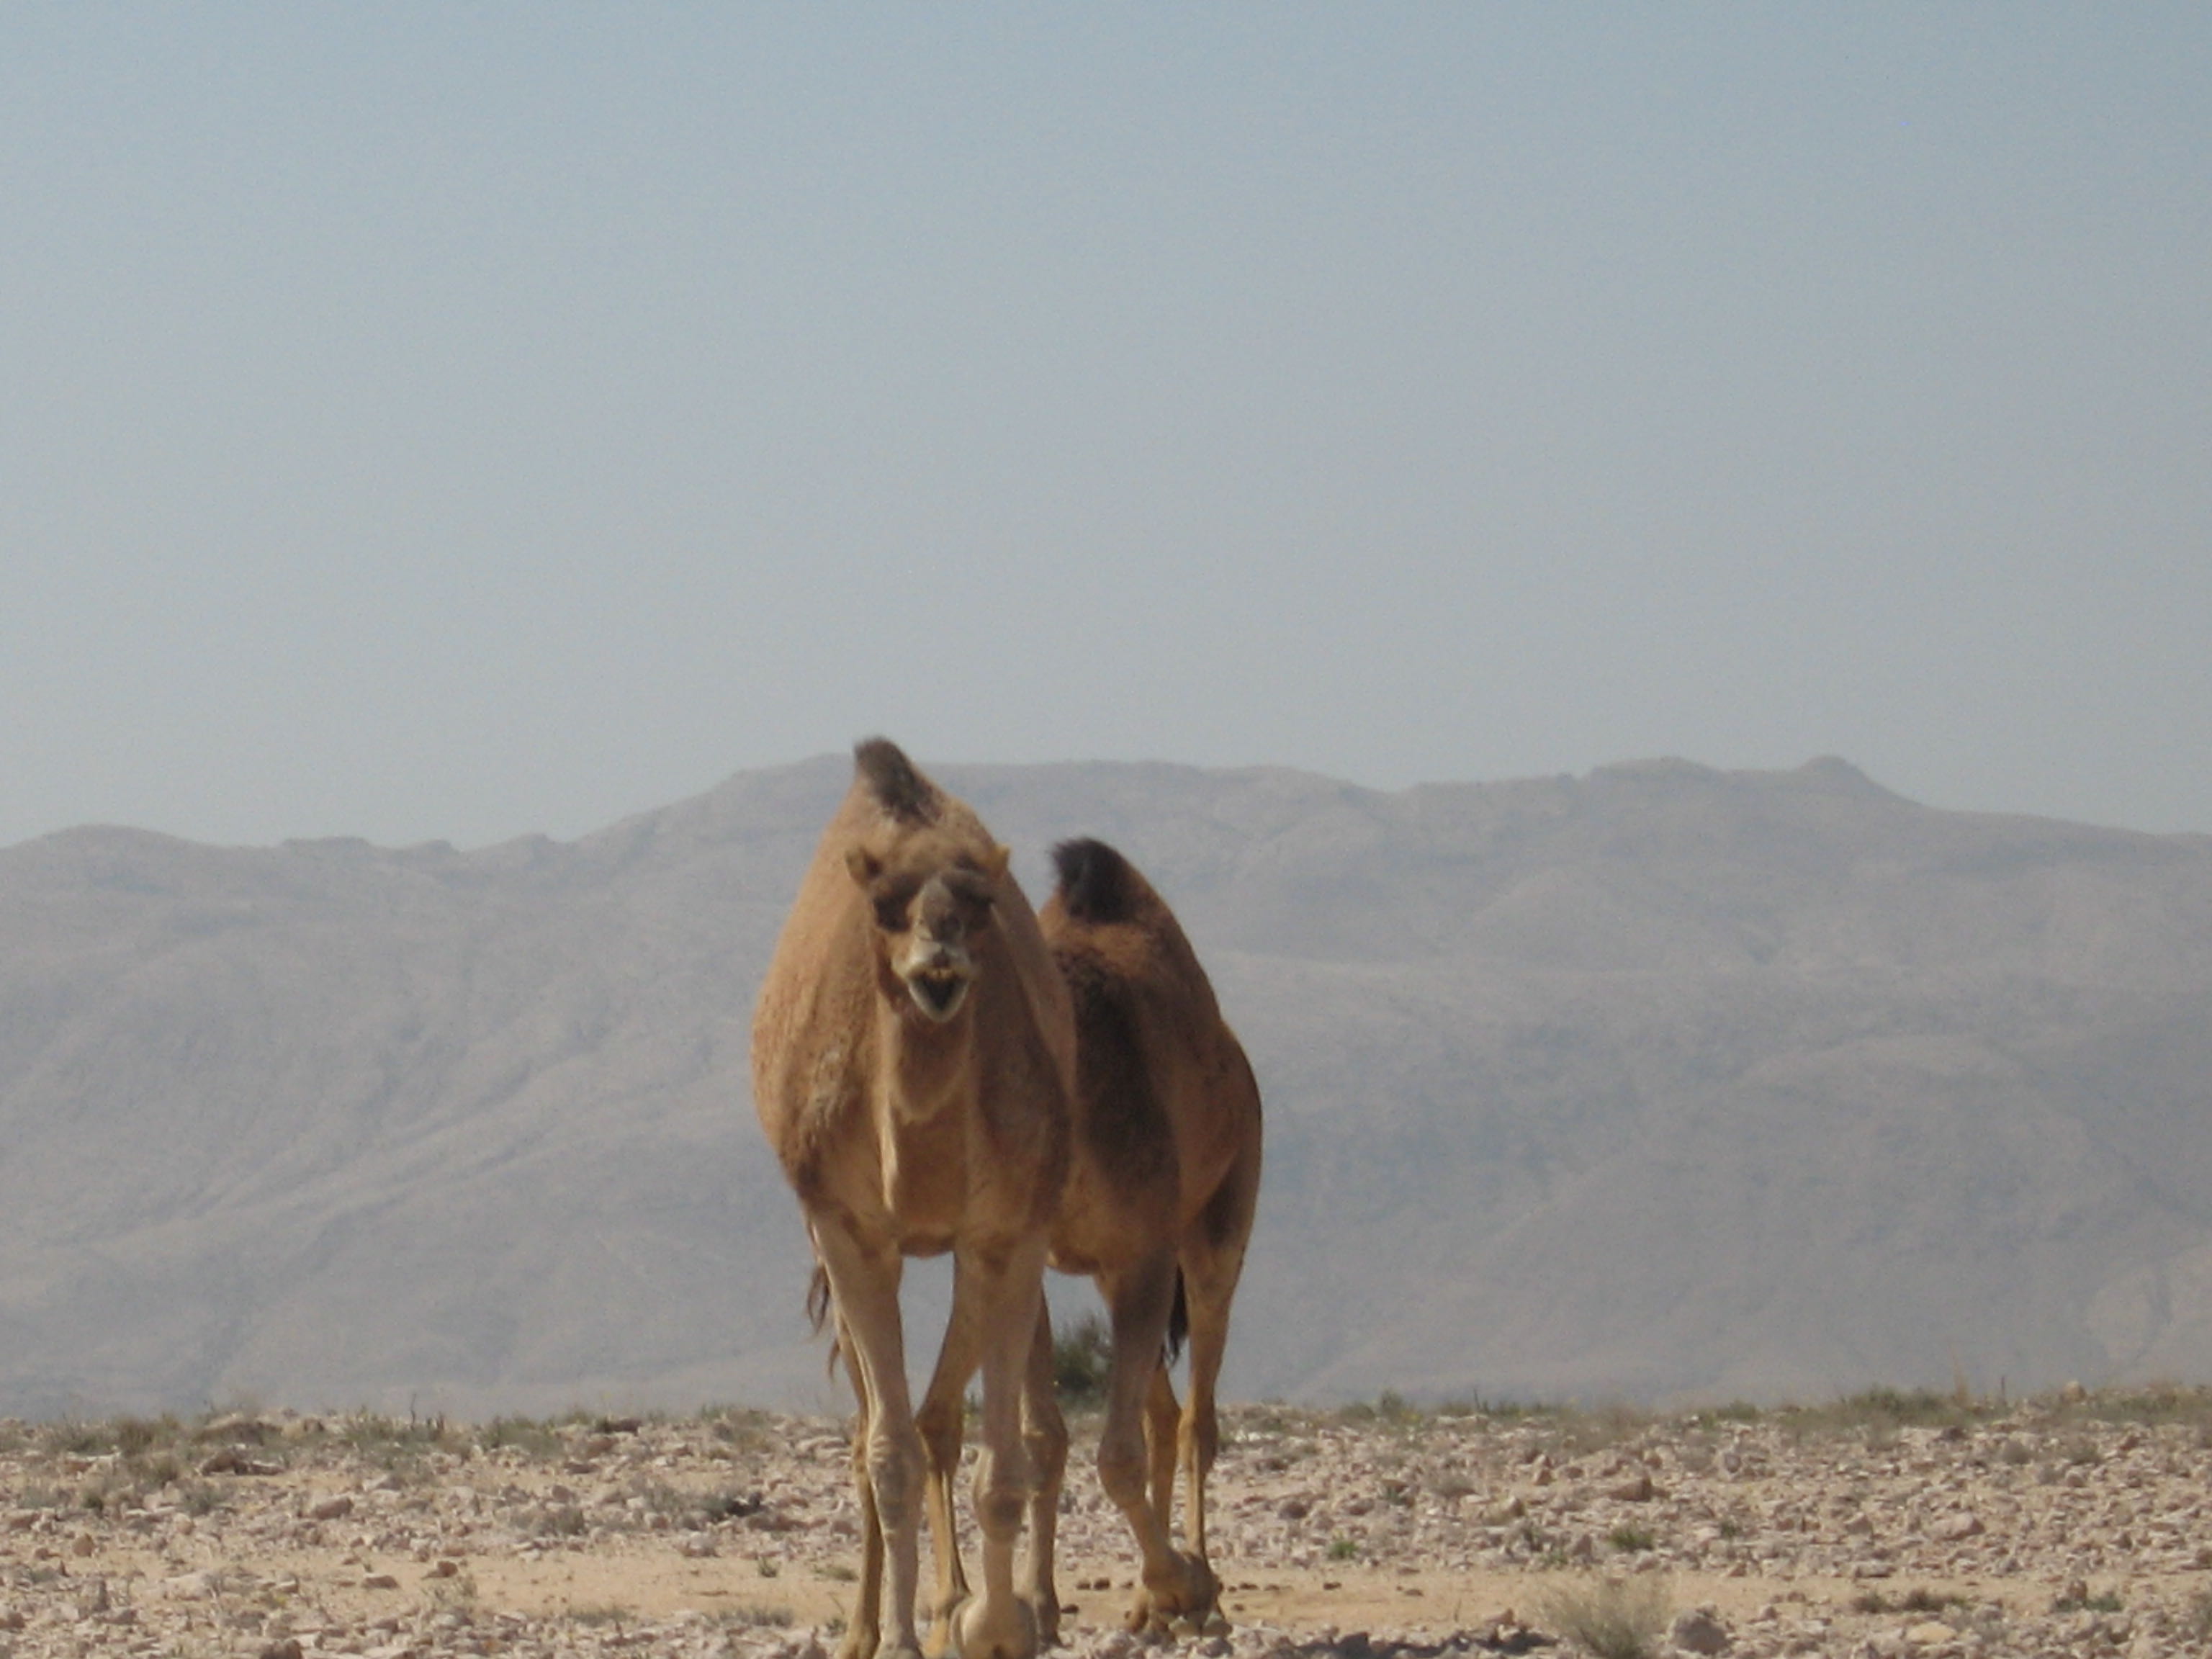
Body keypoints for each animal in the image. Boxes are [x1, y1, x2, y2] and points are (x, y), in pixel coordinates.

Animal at [753, 739, 1074, 1659]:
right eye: (887, 907)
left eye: (977, 906)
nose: (939, 964)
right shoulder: (850, 1230)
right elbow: (888, 1453)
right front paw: (898, 1637)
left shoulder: (1007, 1233)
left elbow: (999, 1466)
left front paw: (995, 1626)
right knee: (873, 1432)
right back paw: (866, 1626)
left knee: (942, 1419)